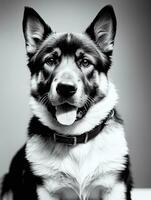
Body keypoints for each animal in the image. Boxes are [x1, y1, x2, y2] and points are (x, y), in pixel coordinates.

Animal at [0, 4, 132, 200]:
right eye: (51, 60)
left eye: (85, 62)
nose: (65, 88)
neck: (75, 138)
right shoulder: (45, 191)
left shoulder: (114, 188)